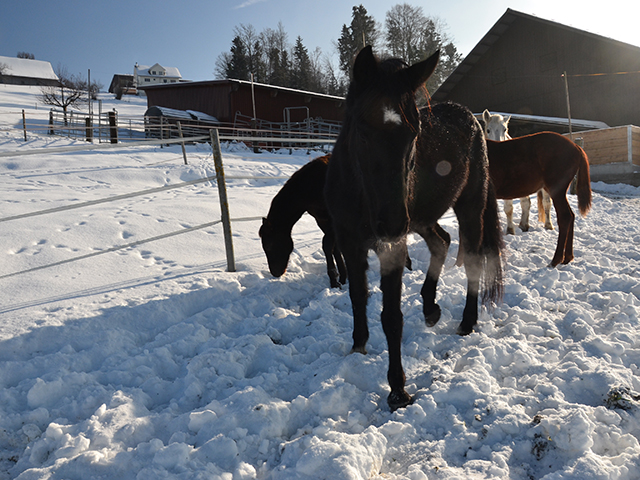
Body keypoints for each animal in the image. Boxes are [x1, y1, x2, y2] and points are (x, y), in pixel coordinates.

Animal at [258, 156, 348, 286]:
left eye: (269, 245)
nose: (275, 273)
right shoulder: (322, 221)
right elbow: (335, 248)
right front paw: (342, 278)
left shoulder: (334, 220)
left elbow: (327, 245)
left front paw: (334, 279)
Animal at [324, 47, 504, 410]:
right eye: (361, 130)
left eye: (414, 133)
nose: (390, 223)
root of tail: (472, 118)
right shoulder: (350, 243)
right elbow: (357, 296)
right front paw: (358, 347)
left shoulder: (391, 248)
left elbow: (392, 317)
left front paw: (397, 389)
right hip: (420, 218)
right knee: (441, 242)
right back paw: (430, 307)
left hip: (466, 207)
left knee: (472, 259)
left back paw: (466, 322)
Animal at [488, 131, 592, 266]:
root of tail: (576, 147)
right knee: (571, 216)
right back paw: (567, 258)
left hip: (557, 191)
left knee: (565, 217)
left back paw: (556, 260)